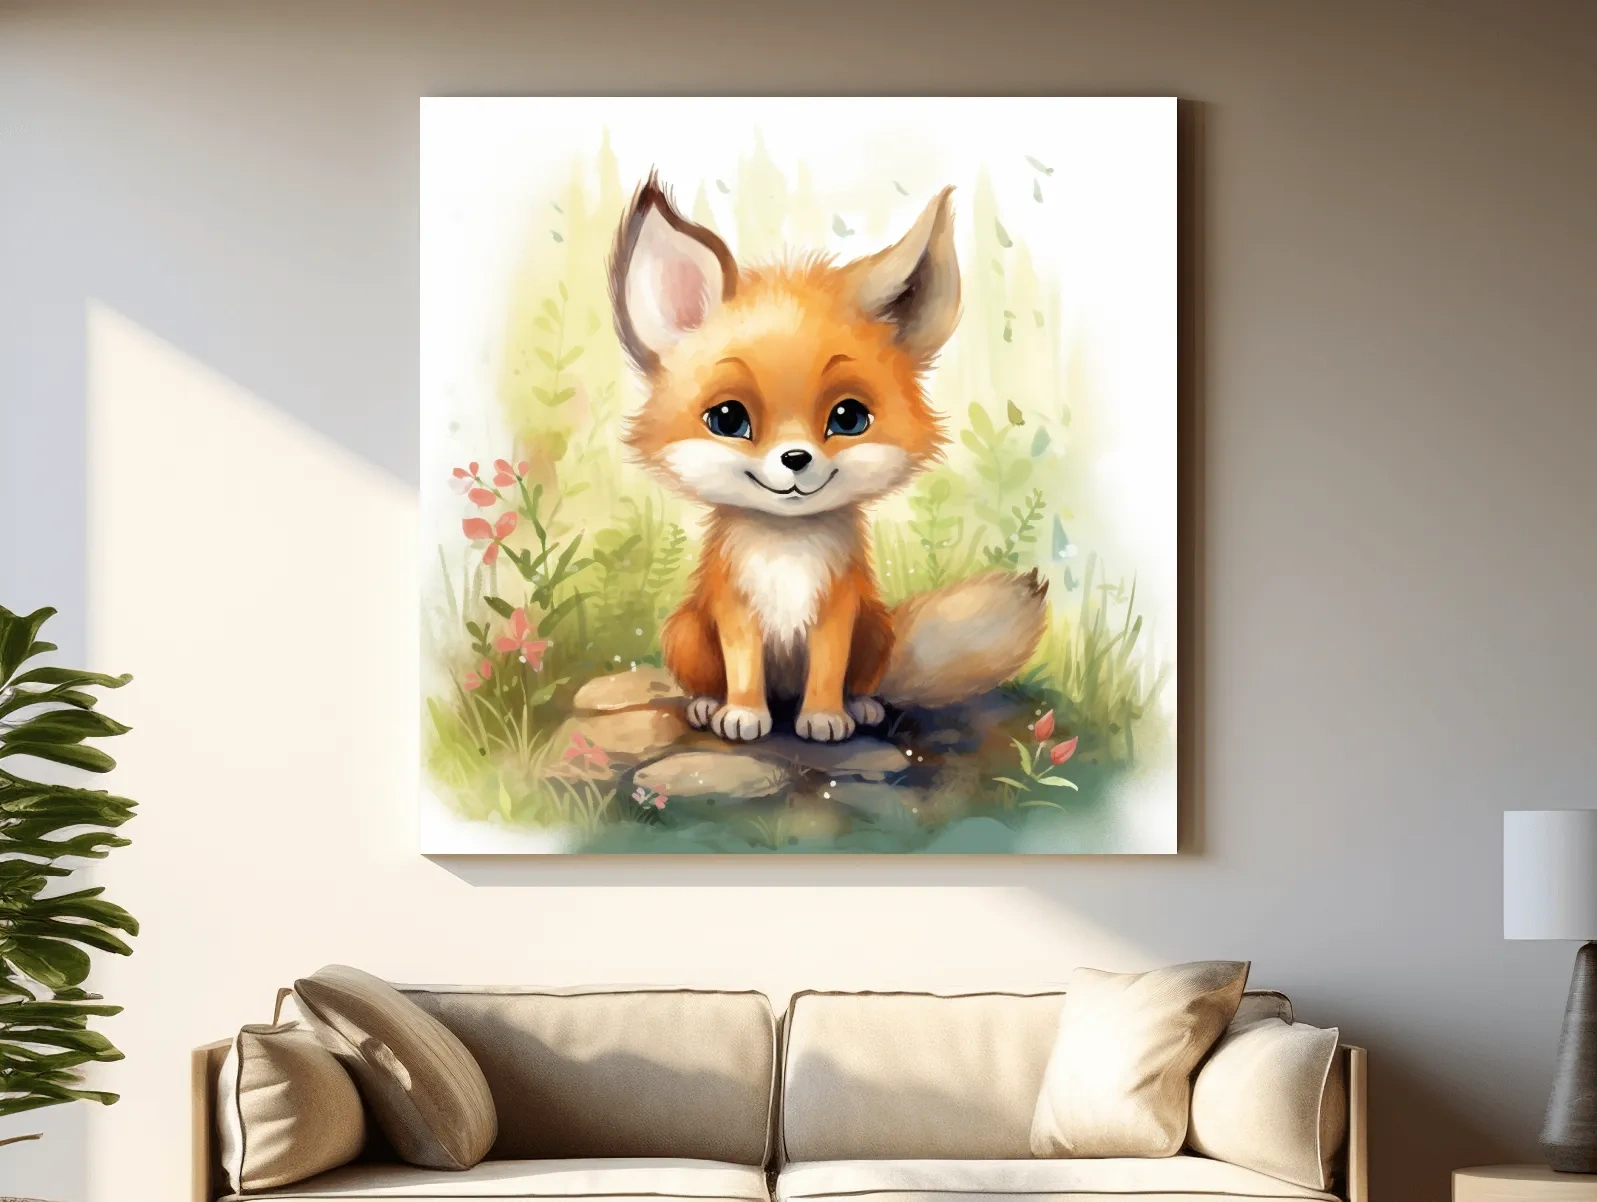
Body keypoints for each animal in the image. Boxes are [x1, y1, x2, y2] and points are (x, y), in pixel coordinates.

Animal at [610, 174, 1048, 744]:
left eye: (848, 418)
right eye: (728, 419)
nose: (796, 458)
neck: (787, 549)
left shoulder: (838, 610)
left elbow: (827, 668)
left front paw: (824, 716)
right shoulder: (735, 608)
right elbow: (743, 668)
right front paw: (743, 714)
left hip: (875, 629)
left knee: (864, 681)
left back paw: (860, 706)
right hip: (685, 630)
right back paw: (708, 704)